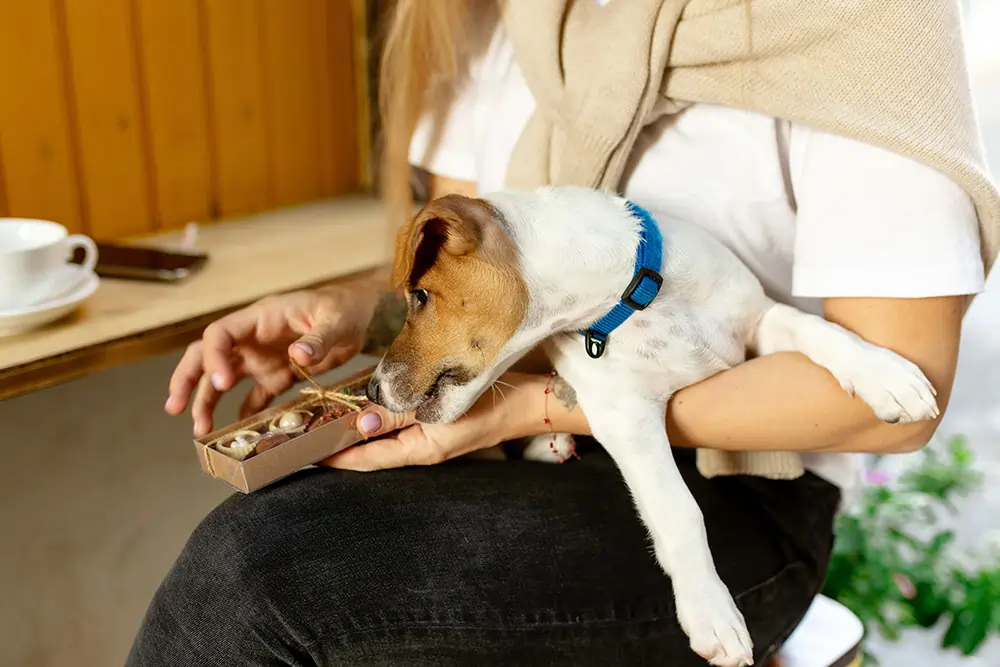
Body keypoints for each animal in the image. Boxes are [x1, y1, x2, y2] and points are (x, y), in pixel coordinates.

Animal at [368, 184, 936, 667]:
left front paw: (885, 374)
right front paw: (711, 609)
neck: (639, 298)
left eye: (420, 296)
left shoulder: (760, 320)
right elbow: (679, 511)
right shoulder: (627, 415)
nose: (371, 392)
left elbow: (817, 327)